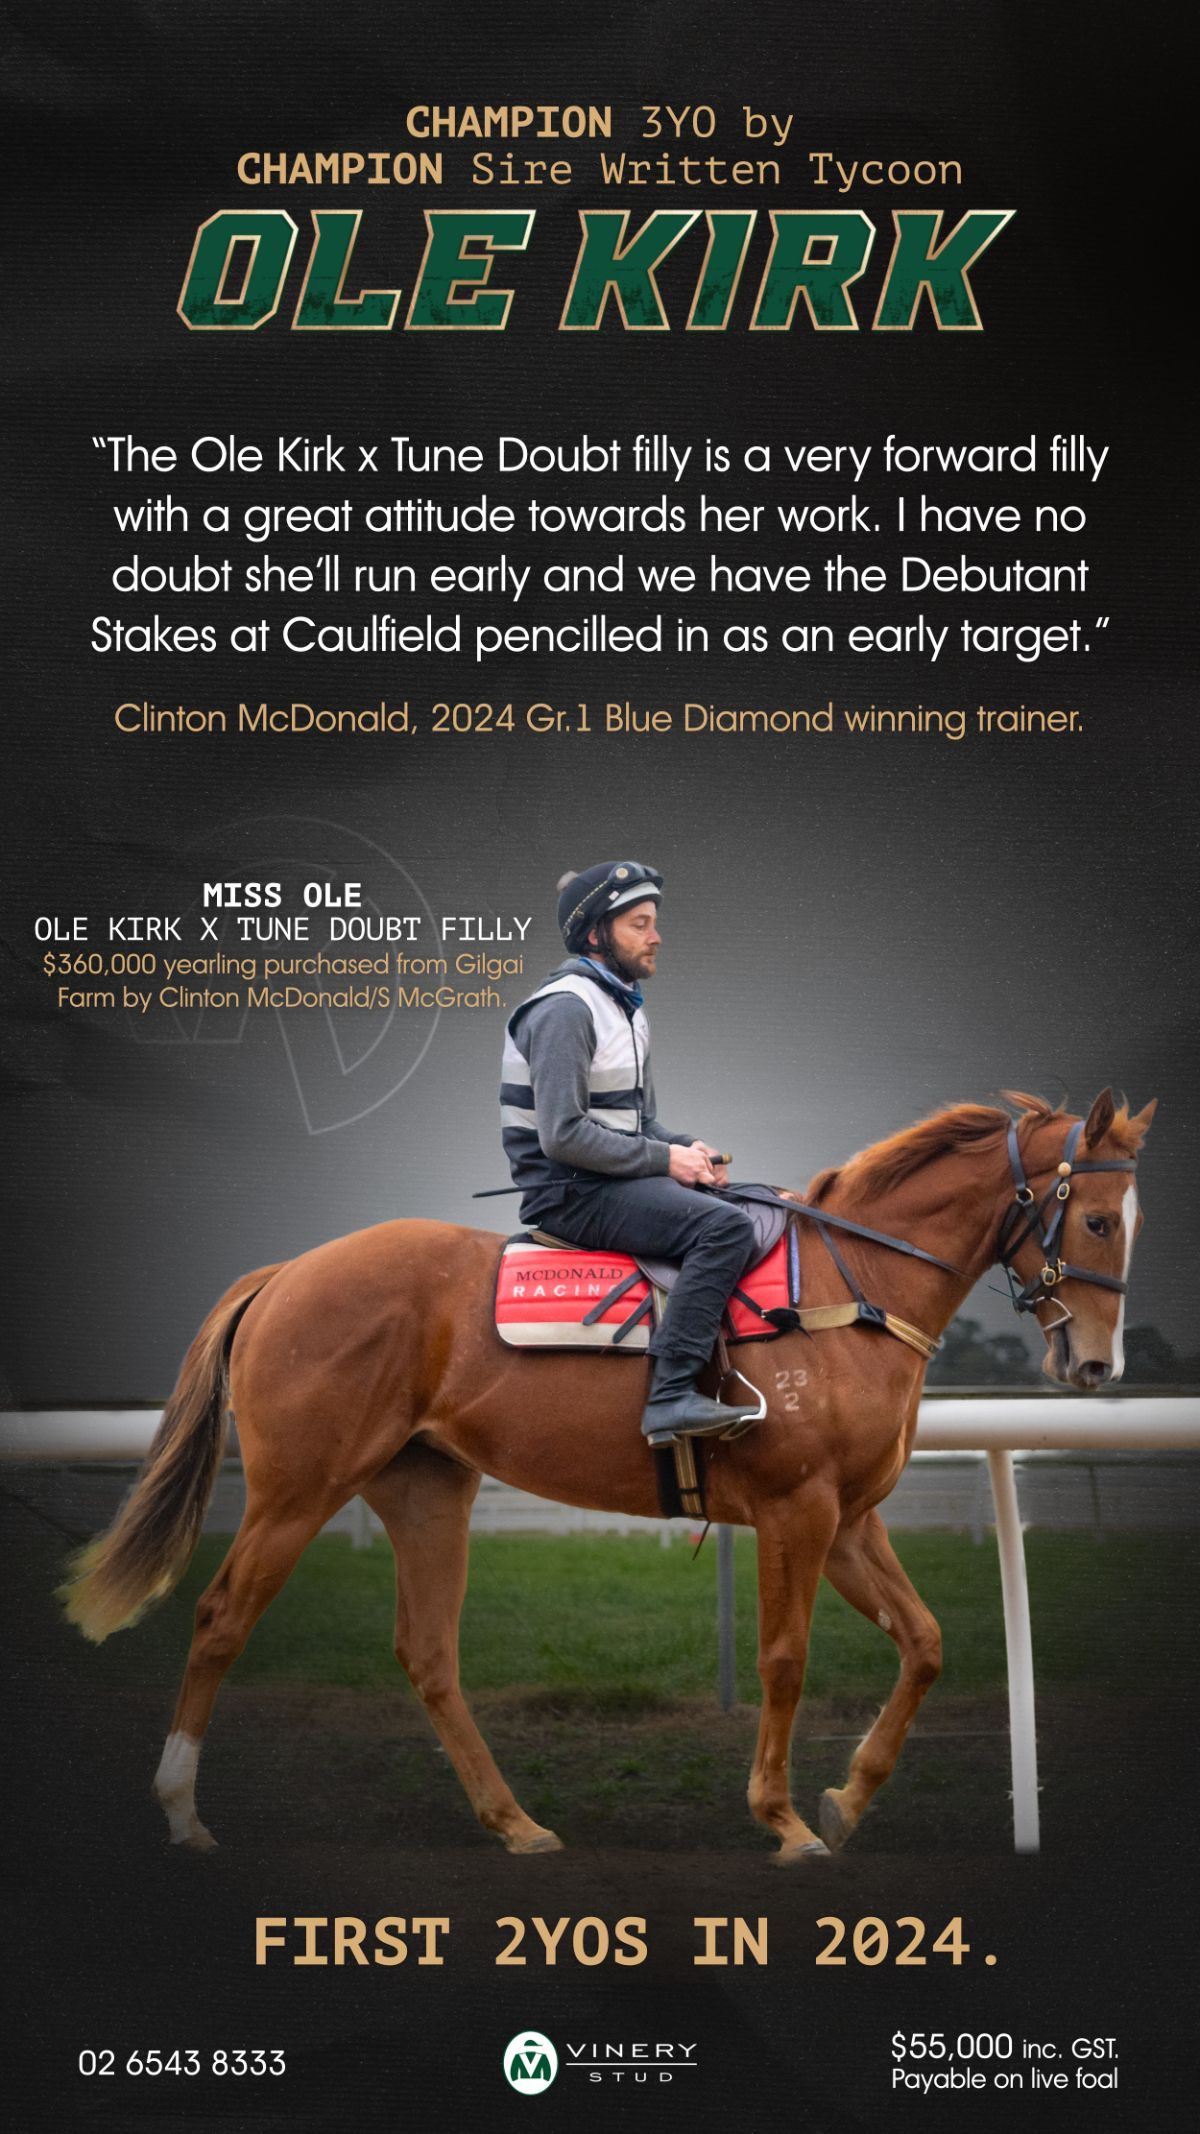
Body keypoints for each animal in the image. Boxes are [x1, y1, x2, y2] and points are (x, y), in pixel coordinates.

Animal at [60, 1088, 1154, 1861]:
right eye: (1100, 1220)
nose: (1098, 1365)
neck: (850, 1287)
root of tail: (283, 1273)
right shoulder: (798, 1511)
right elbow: (785, 1659)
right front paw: (784, 1819)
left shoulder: (851, 1519)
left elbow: (923, 1644)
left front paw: (847, 1798)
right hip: (298, 1490)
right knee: (221, 1619)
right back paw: (183, 1811)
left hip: (425, 1487)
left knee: (428, 1652)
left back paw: (515, 1822)